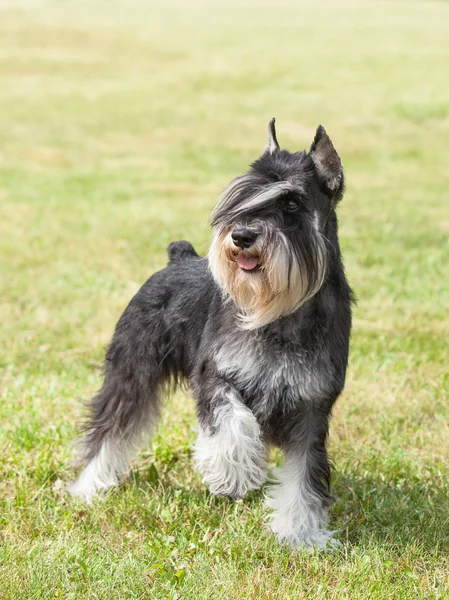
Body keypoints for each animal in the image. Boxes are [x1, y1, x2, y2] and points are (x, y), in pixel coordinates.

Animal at [67, 120, 354, 548]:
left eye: (292, 203)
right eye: (242, 197)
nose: (241, 236)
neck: (280, 314)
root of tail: (178, 256)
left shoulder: (312, 408)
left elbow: (305, 476)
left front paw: (300, 534)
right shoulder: (215, 374)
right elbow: (230, 422)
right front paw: (232, 475)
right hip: (131, 371)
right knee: (110, 426)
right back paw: (89, 486)